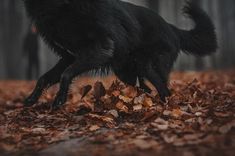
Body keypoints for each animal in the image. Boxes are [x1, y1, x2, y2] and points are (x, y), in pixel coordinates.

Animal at [22, 0, 217, 109]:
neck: (62, 7)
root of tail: (172, 27)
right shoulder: (69, 56)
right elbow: (44, 78)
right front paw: (31, 99)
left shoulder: (100, 49)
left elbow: (66, 74)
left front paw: (59, 100)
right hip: (126, 71)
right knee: (145, 88)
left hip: (148, 66)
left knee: (164, 89)